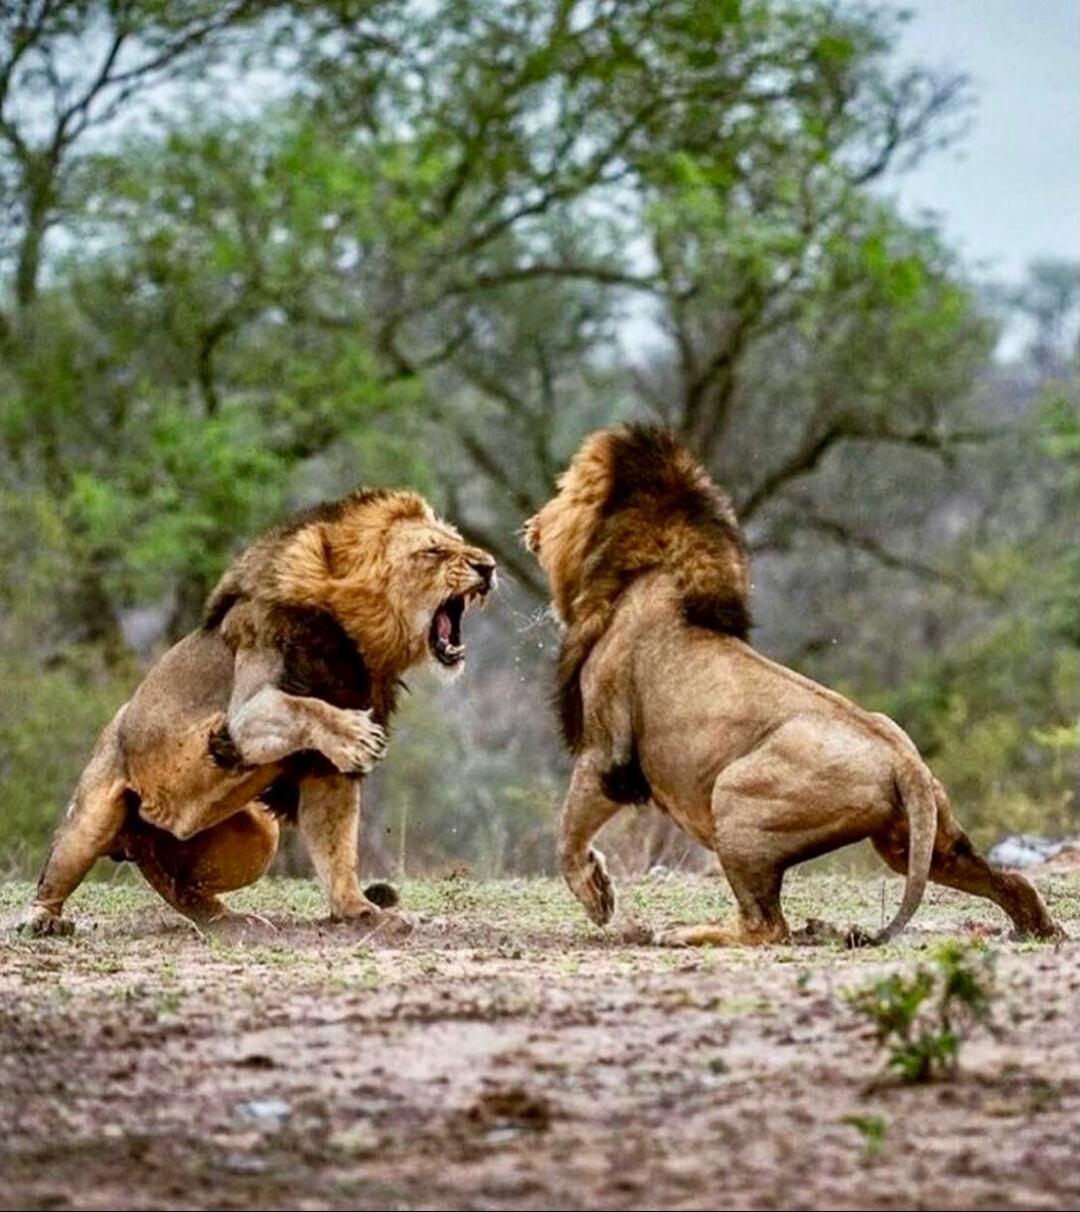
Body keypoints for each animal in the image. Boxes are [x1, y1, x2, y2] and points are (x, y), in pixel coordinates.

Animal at [20, 488, 496, 937]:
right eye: (433, 551)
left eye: (459, 543)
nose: (489, 566)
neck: (361, 647)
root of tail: (141, 840)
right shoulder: (244, 713)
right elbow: (303, 707)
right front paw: (355, 735)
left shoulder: (324, 772)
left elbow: (337, 849)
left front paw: (360, 912)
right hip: (91, 818)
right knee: (57, 875)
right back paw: (43, 921)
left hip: (259, 836)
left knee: (185, 887)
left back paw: (231, 921)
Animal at [525, 425, 1060, 945]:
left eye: (563, 492)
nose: (531, 525)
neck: (650, 569)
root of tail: (905, 762)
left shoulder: (606, 753)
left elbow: (568, 833)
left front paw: (597, 898)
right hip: (918, 843)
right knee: (1012, 881)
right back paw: (1036, 928)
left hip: (734, 796)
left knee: (767, 927)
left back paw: (685, 933)